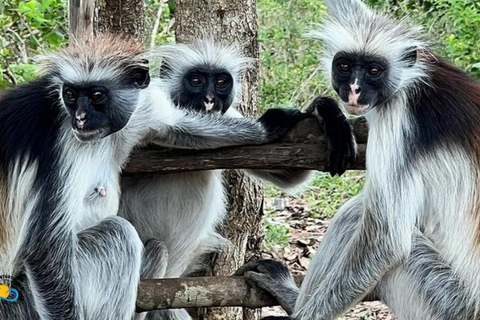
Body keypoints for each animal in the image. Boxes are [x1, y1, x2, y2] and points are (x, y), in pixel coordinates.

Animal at [0, 35, 308, 320]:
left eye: (97, 96)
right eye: (71, 95)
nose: (80, 118)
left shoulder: (140, 108)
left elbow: (177, 128)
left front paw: (272, 124)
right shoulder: (62, 145)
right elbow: (44, 248)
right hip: (21, 299)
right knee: (118, 235)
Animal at [121, 39, 356, 320]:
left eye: (222, 82)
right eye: (196, 81)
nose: (209, 100)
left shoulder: (230, 114)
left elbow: (289, 174)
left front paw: (324, 110)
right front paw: (269, 124)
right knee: (156, 250)